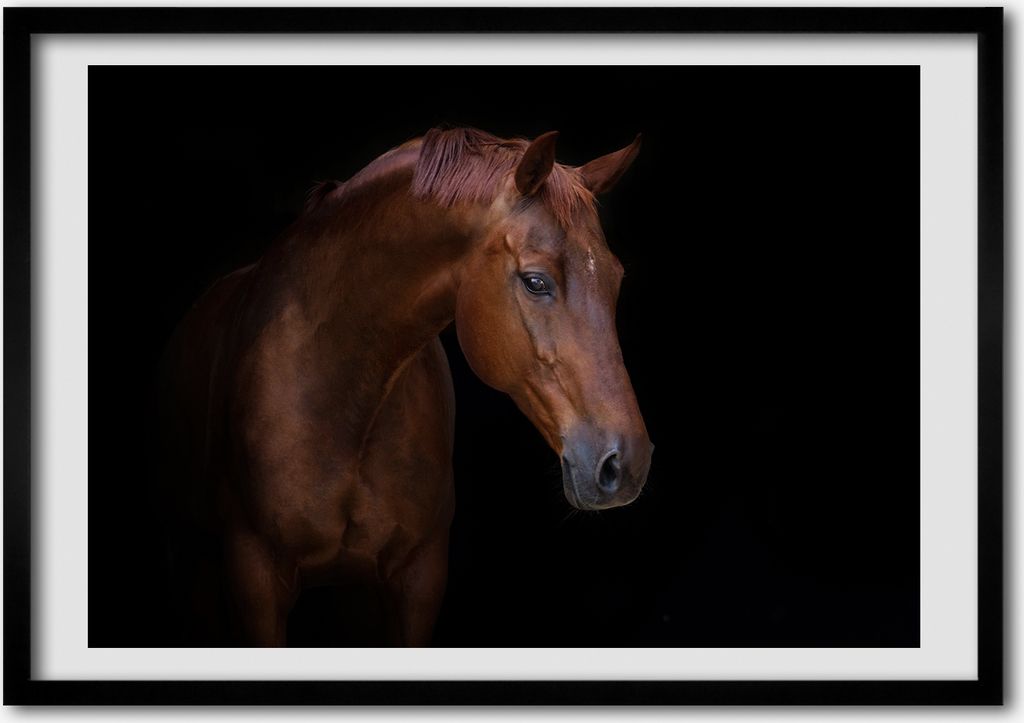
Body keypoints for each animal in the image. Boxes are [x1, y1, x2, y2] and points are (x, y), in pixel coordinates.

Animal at [158, 127, 653, 646]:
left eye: (617, 278)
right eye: (535, 281)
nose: (627, 463)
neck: (339, 389)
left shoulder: (418, 577)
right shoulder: (255, 576)